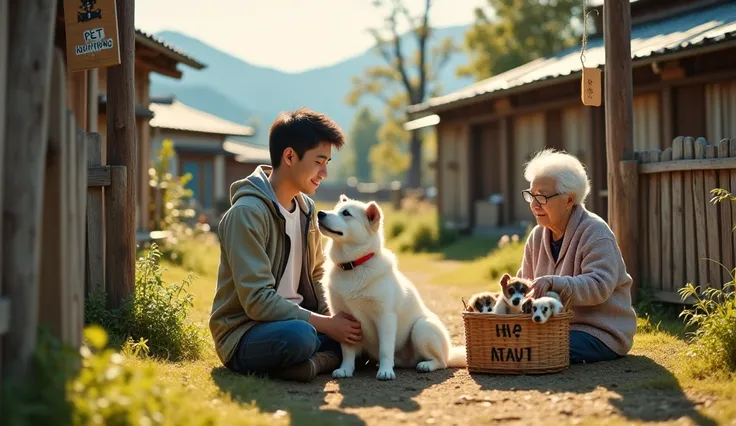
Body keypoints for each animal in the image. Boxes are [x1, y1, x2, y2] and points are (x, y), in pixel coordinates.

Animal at [318, 195, 466, 382]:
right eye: (334, 209)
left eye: (346, 213)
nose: (320, 213)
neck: (354, 265)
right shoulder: (345, 320)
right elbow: (348, 351)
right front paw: (346, 369)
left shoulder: (385, 317)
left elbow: (385, 349)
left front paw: (386, 371)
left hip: (421, 328)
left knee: (442, 362)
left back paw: (426, 365)